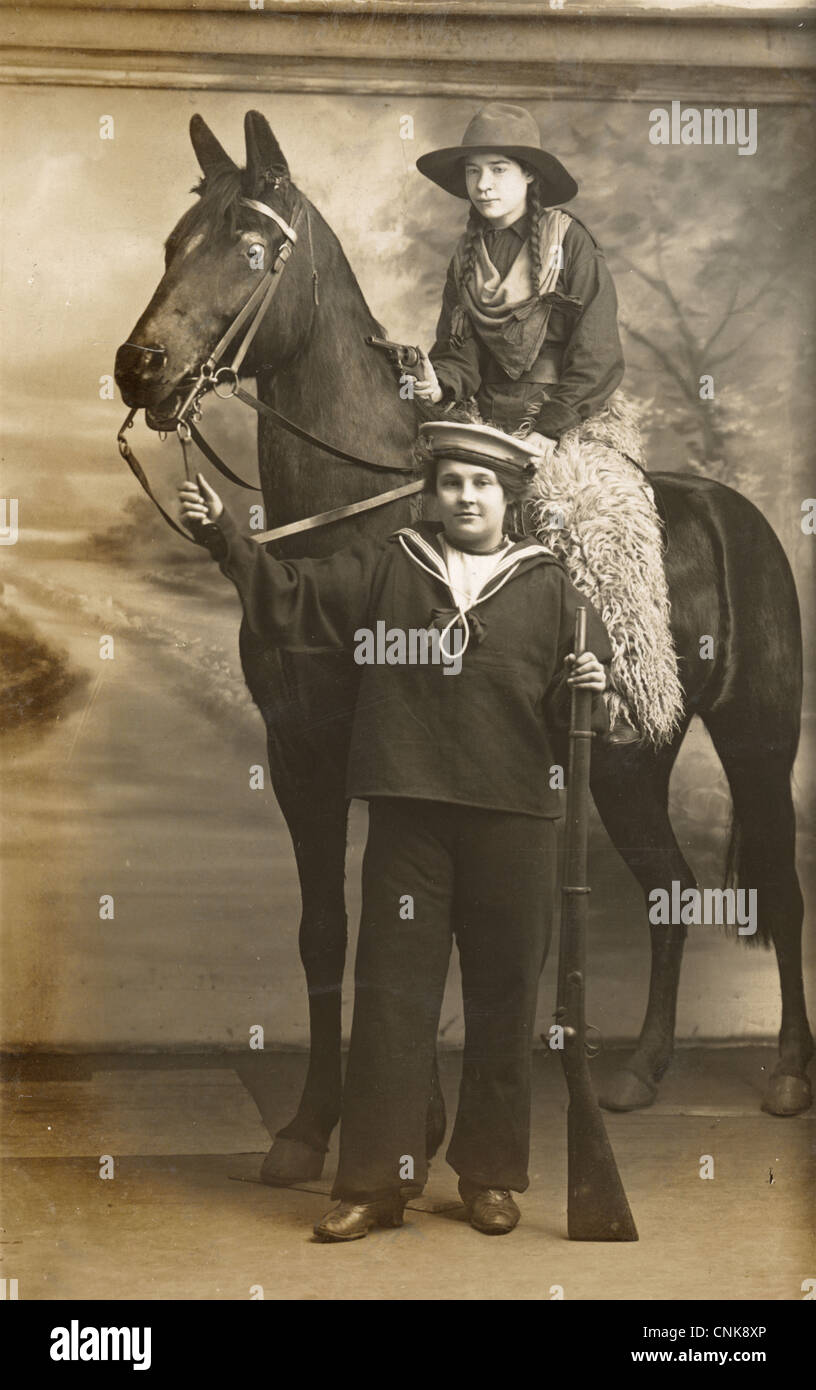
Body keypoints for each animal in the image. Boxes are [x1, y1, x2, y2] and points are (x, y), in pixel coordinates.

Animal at [113, 111, 811, 1184]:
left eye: (253, 247)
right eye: (171, 246)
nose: (137, 367)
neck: (352, 525)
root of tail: (738, 515)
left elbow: (419, 932)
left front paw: (415, 1130)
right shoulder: (300, 756)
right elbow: (327, 934)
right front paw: (311, 1128)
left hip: (759, 745)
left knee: (781, 883)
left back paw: (784, 1074)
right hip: (629, 760)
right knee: (672, 889)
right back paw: (639, 1072)